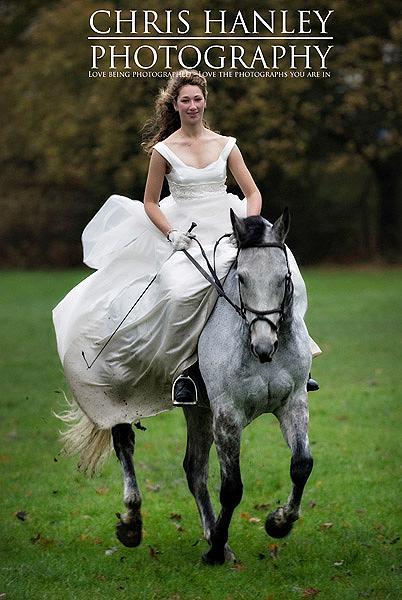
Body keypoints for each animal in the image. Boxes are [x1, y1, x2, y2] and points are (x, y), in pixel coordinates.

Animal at [110, 209, 314, 564]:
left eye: (285, 278)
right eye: (242, 278)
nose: (264, 346)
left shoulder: (293, 402)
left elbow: (301, 465)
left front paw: (278, 523)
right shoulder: (228, 415)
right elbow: (232, 488)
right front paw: (216, 549)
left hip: (200, 412)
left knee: (194, 469)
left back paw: (206, 532)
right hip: (121, 396)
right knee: (125, 444)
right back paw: (132, 524)